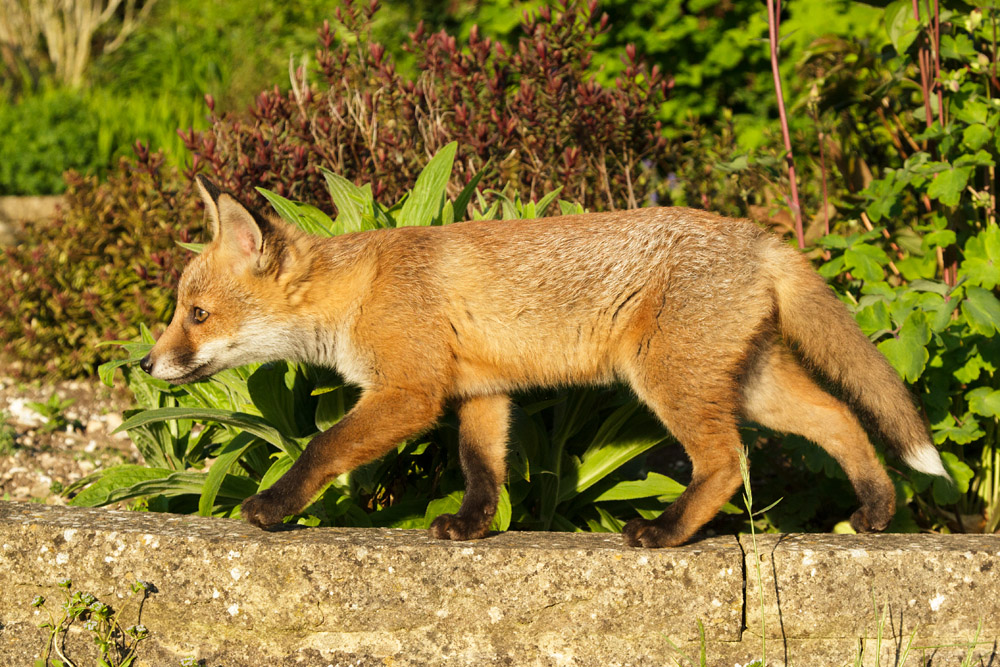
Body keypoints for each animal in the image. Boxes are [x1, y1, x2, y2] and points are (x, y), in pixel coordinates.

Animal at [139, 175, 948, 548]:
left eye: (196, 314)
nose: (147, 365)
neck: (360, 290)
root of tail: (762, 236)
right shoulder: (481, 393)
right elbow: (482, 470)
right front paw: (470, 527)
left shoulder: (408, 392)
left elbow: (320, 448)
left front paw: (272, 507)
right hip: (749, 383)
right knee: (840, 417)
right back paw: (875, 511)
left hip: (671, 382)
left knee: (727, 462)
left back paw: (664, 531)